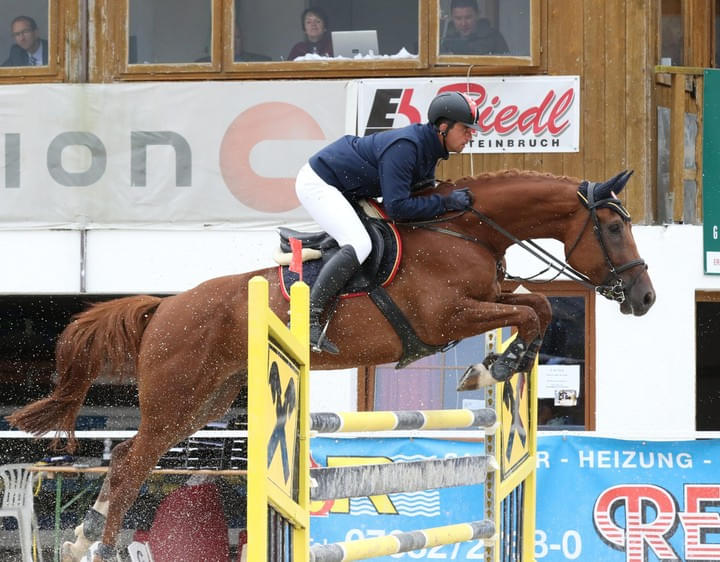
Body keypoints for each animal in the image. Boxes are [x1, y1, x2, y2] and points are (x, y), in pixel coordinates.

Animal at [8, 168, 656, 556]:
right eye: (613, 227)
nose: (645, 297)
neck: (465, 232)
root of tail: (164, 307)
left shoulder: (484, 298)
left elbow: (536, 304)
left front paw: (500, 364)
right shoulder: (447, 318)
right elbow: (528, 311)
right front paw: (493, 368)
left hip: (204, 402)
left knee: (132, 460)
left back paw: (91, 537)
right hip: (178, 398)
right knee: (128, 463)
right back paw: (96, 543)